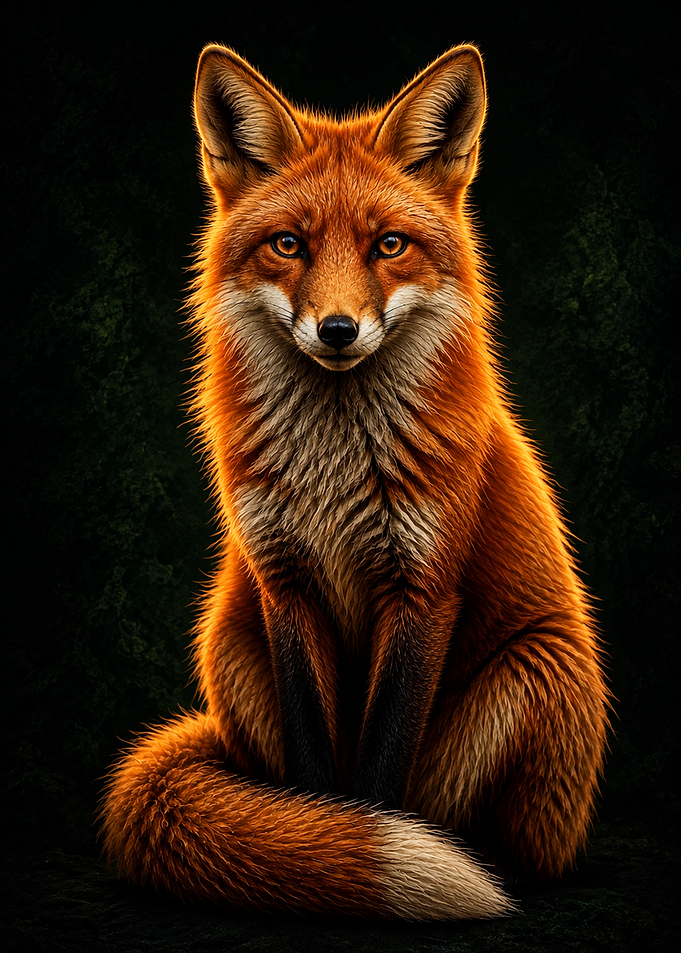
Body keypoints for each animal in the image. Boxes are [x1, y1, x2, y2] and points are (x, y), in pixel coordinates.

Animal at [100, 44, 609, 920]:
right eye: (288, 245)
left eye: (389, 245)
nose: (337, 329)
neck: (335, 471)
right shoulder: (285, 583)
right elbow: (315, 770)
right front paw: (314, 849)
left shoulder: (422, 587)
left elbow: (378, 767)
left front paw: (355, 850)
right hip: (226, 638)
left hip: (535, 669)